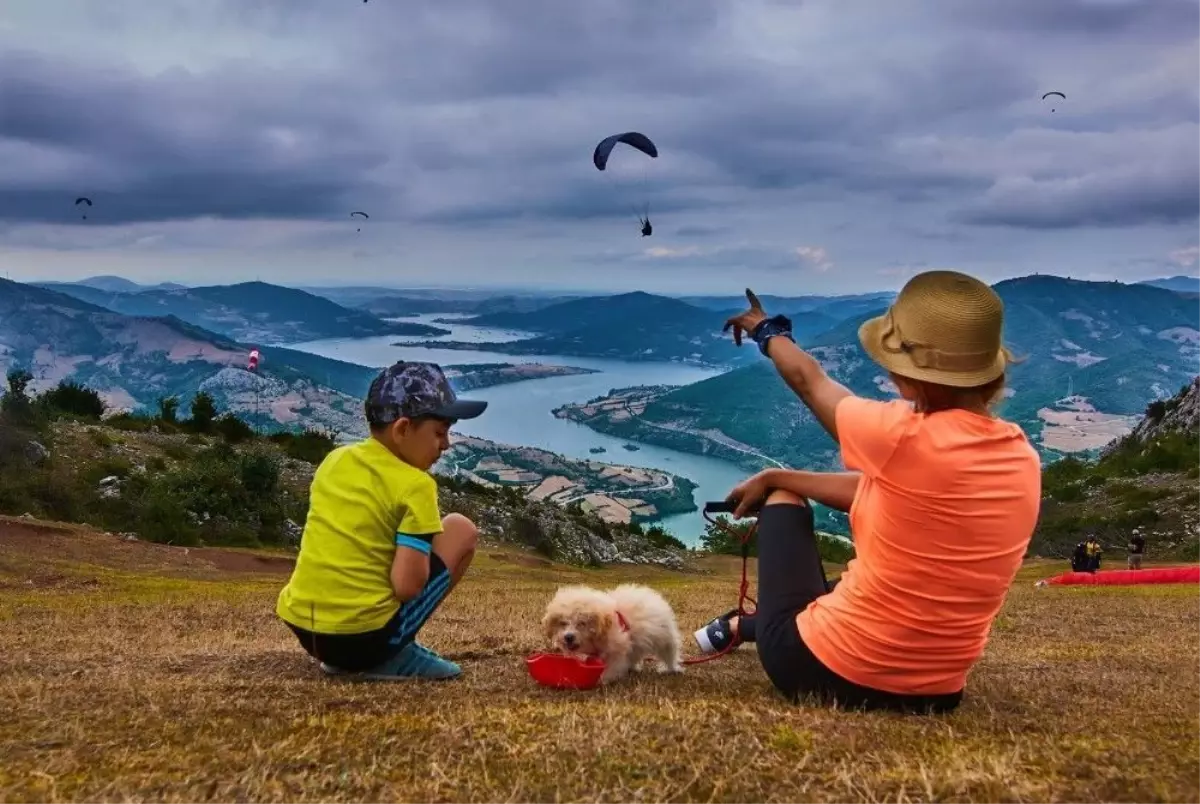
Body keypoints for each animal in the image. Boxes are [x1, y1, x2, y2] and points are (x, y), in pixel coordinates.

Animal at [544, 585, 686, 686]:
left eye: (582, 623)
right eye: (563, 623)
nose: (568, 637)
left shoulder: (616, 651)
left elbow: (612, 666)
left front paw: (603, 679)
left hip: (665, 639)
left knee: (669, 653)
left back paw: (672, 668)